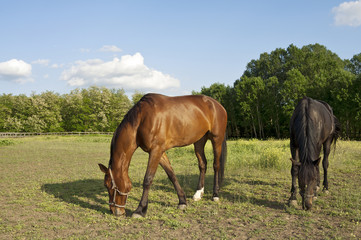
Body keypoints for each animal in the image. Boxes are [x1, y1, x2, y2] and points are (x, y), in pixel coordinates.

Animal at [97, 94, 228, 218]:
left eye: (109, 185)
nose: (114, 210)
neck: (141, 119)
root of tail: (217, 104)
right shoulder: (160, 152)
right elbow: (171, 175)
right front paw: (182, 201)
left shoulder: (156, 150)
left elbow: (148, 179)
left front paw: (140, 210)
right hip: (199, 141)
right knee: (202, 164)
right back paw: (198, 193)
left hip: (216, 140)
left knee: (216, 165)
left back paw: (215, 195)